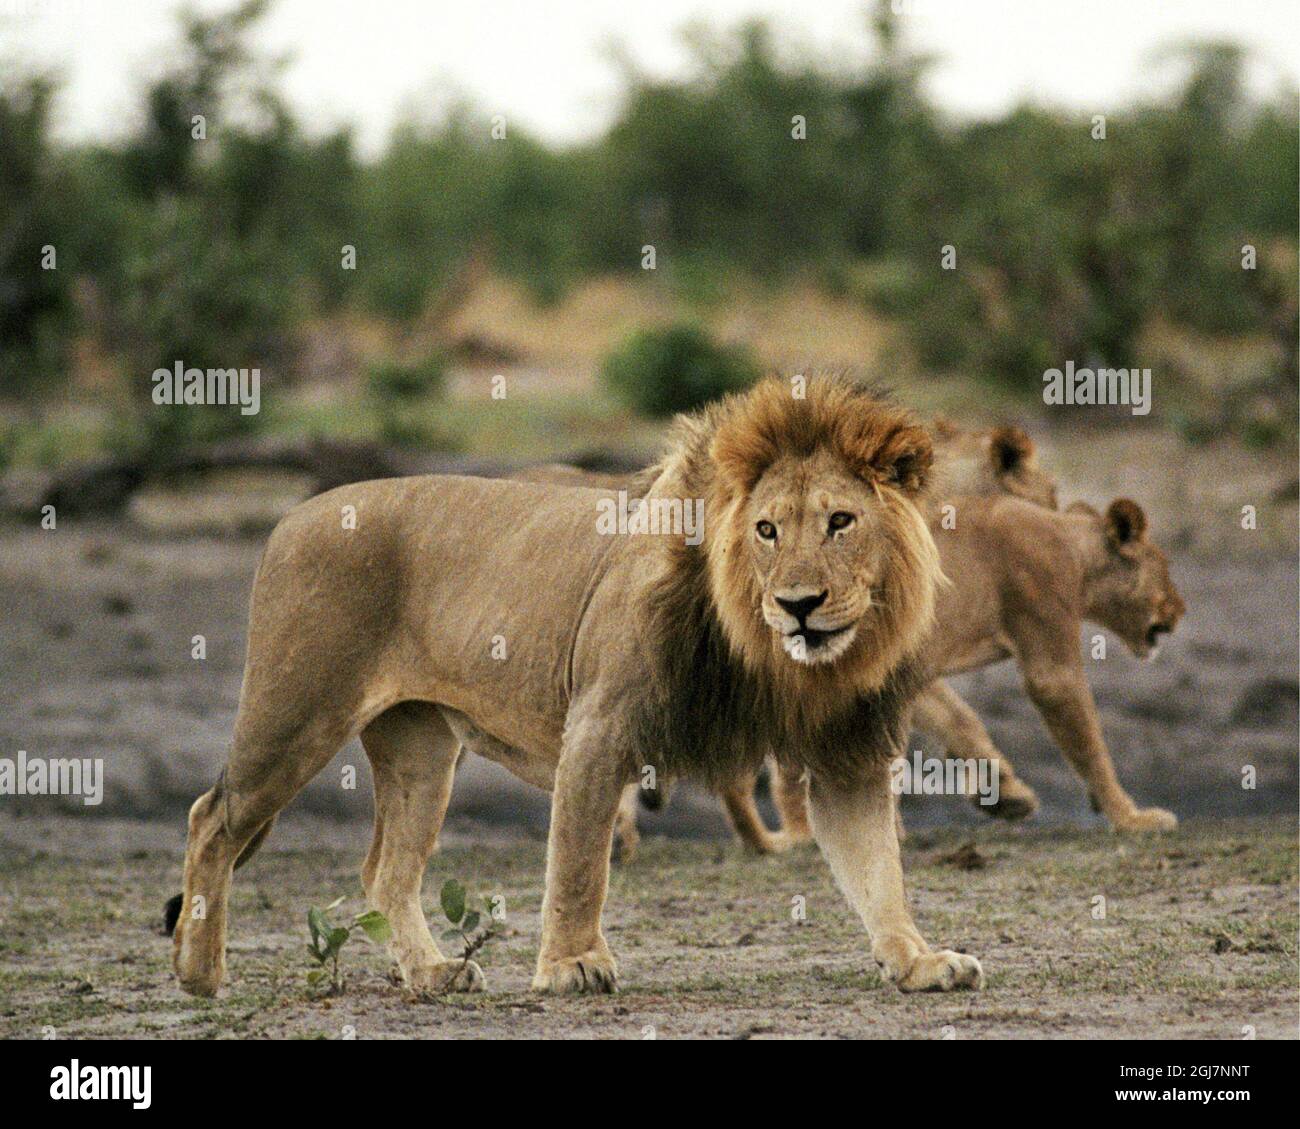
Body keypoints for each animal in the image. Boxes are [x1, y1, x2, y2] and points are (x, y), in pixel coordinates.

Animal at [170, 377, 982, 998]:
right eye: (767, 530)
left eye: (841, 521)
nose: (800, 604)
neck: (778, 661)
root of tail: (290, 517)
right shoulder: (599, 726)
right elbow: (579, 861)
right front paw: (571, 964)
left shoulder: (846, 756)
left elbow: (880, 871)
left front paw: (919, 959)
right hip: (297, 708)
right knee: (213, 817)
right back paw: (199, 971)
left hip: (419, 747)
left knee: (385, 870)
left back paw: (433, 973)